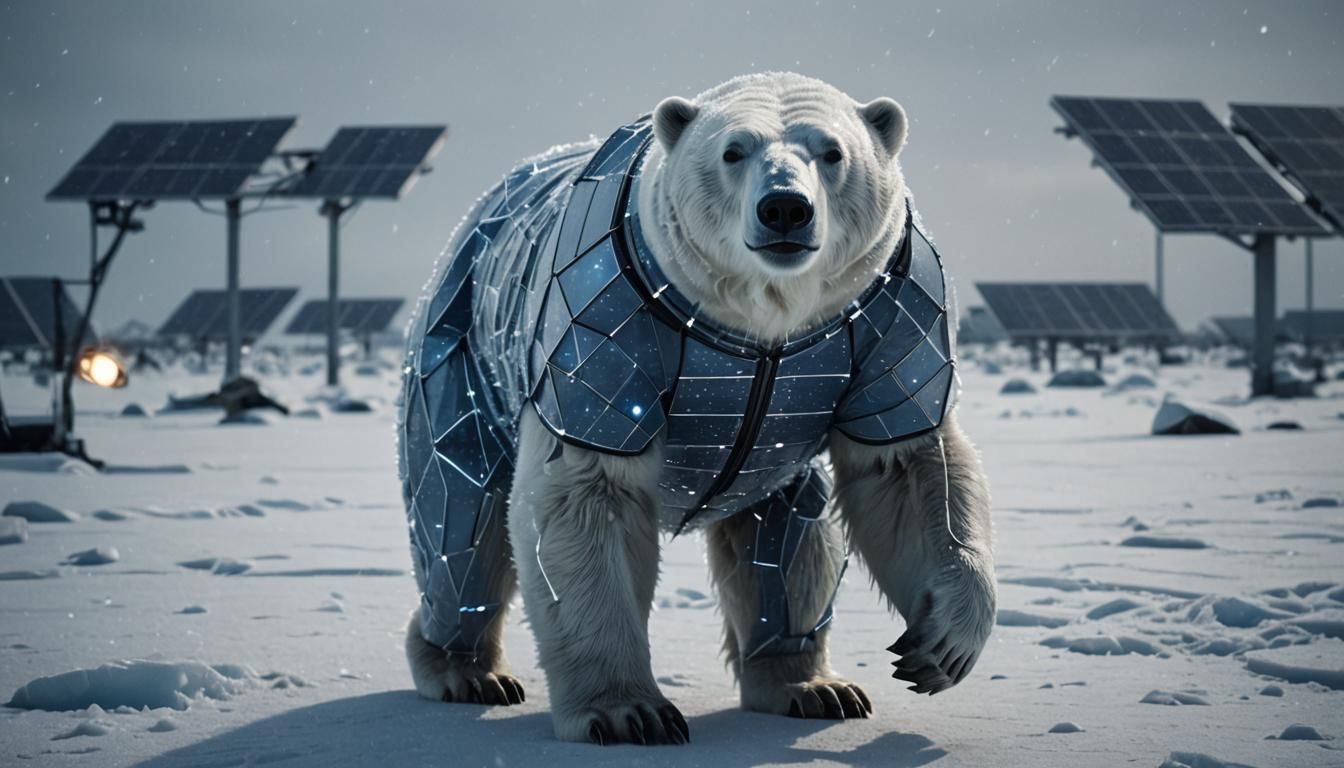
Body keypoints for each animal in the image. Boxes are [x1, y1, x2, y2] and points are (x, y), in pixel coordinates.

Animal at [397, 71, 995, 746]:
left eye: (833, 152)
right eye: (734, 151)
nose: (784, 208)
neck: (761, 331)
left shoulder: (892, 311)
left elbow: (906, 470)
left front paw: (940, 647)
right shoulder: (607, 323)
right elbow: (586, 493)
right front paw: (628, 714)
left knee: (787, 539)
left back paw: (811, 686)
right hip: (457, 358)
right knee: (459, 526)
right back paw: (466, 670)